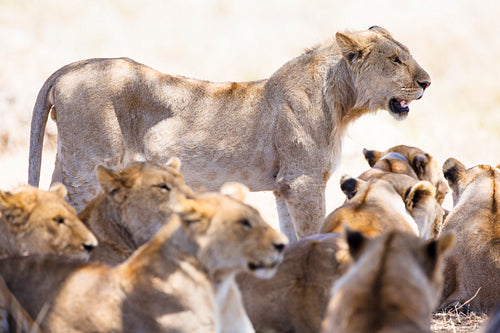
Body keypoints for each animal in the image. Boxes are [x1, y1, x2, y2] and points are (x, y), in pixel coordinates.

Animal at [29, 24, 432, 240]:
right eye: (395, 59)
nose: (427, 82)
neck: (341, 102)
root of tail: (66, 69)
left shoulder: (286, 186)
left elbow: (290, 234)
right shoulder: (304, 180)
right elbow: (313, 230)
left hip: (67, 162)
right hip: (91, 166)